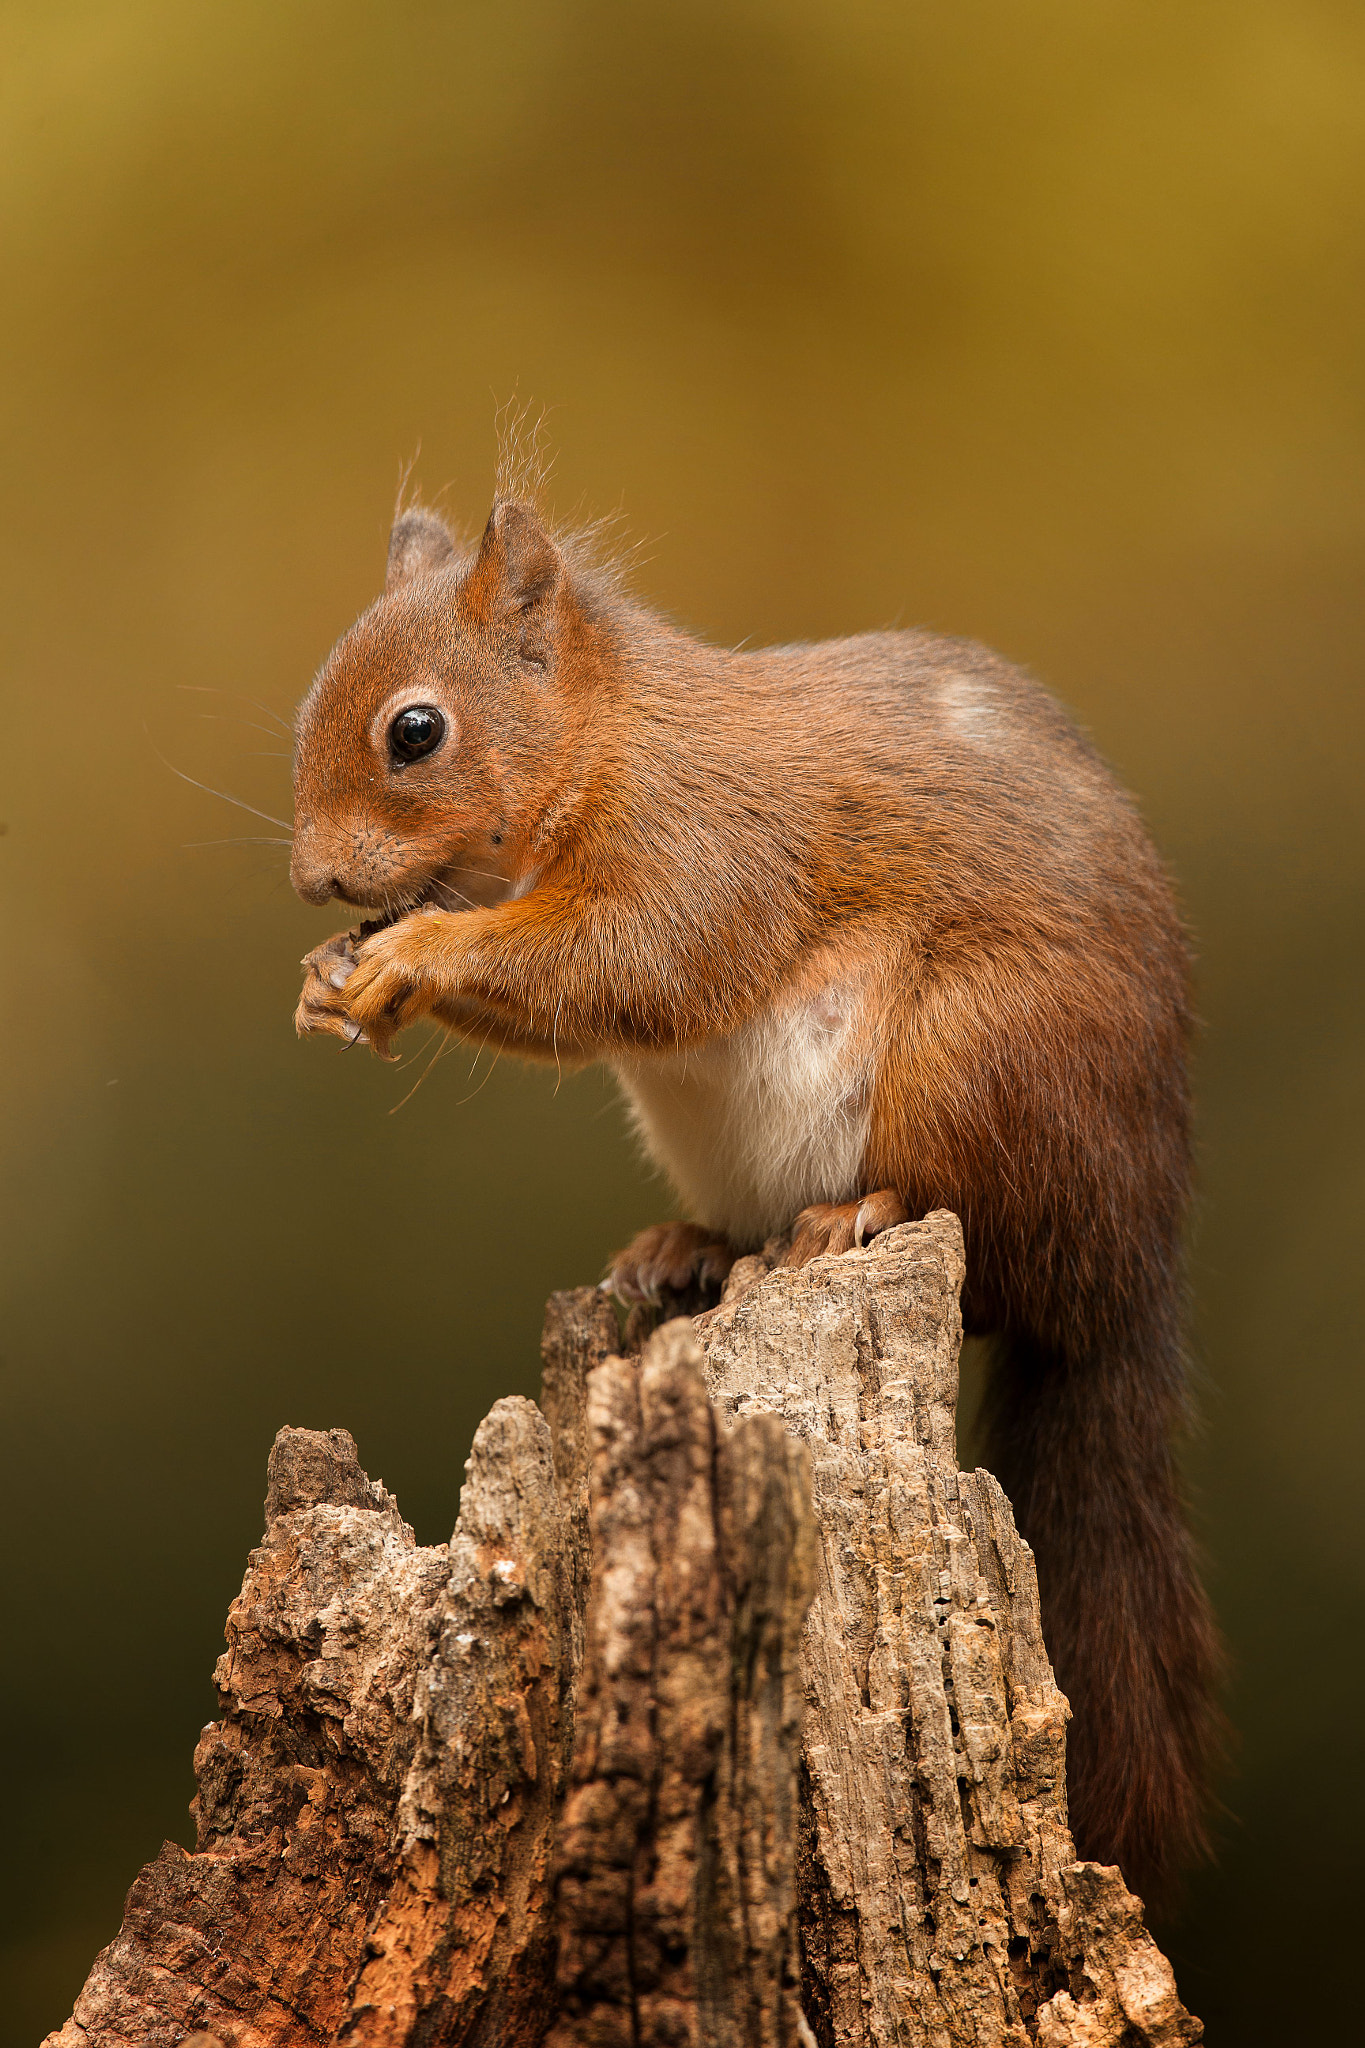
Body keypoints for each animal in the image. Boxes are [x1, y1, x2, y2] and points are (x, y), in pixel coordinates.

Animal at [290, 487, 1227, 1892]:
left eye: (416, 730)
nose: (313, 879)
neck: (609, 739)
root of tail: (1130, 1266)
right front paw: (325, 976)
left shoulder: (706, 844)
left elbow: (632, 963)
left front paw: (417, 953)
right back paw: (683, 1243)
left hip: (974, 1063)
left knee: (985, 1242)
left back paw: (858, 1213)